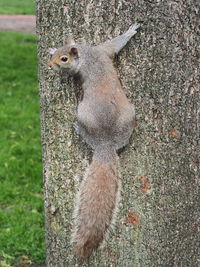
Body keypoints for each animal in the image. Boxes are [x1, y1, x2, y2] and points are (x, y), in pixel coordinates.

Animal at [47, 24, 140, 260]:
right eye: (55, 53)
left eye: (64, 59)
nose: (49, 65)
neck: (85, 54)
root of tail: (105, 144)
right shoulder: (102, 52)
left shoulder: (101, 52)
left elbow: (116, 42)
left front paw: (130, 31)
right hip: (129, 116)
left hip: (82, 112)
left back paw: (78, 128)